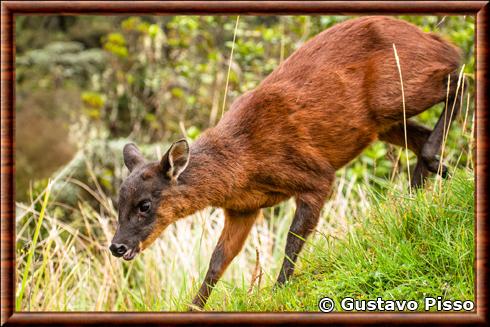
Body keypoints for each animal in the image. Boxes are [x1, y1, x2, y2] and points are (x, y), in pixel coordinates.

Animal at [109, 17, 466, 310]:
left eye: (144, 205)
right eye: (119, 202)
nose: (116, 246)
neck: (242, 162)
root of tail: (432, 38)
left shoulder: (315, 175)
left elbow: (293, 239)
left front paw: (278, 290)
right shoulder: (243, 209)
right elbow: (217, 261)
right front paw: (194, 306)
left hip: (395, 91)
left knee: (458, 74)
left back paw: (432, 169)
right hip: (383, 122)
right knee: (424, 132)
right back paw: (420, 191)